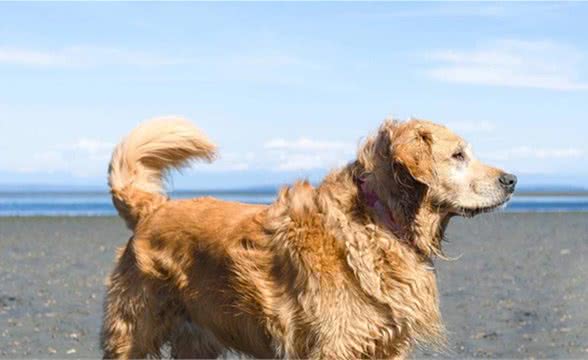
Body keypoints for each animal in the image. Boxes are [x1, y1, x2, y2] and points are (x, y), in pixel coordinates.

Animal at [100, 116, 516, 358]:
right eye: (458, 155)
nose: (511, 180)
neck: (376, 222)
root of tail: (152, 207)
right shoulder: (333, 346)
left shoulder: (387, 344)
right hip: (133, 330)